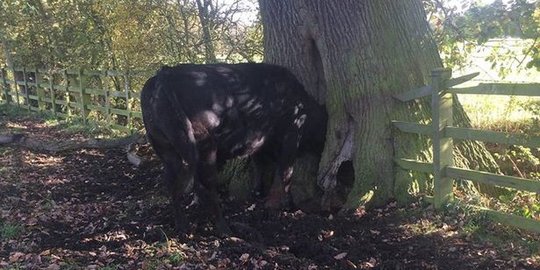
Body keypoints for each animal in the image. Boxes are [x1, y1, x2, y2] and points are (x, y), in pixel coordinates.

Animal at [141, 63, 326, 234]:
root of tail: (166, 74)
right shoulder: (291, 136)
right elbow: (286, 172)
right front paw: (290, 206)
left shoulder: (259, 139)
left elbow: (259, 163)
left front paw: (257, 191)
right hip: (205, 146)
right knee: (207, 183)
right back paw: (223, 228)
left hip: (164, 148)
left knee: (172, 182)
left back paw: (183, 225)